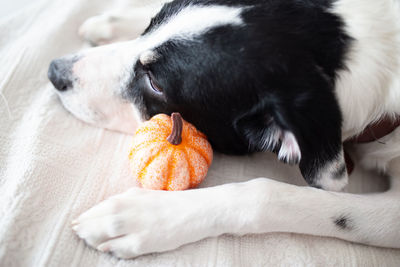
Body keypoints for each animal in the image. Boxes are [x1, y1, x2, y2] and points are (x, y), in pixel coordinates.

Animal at [47, 0, 400, 260]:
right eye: (150, 25)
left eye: (156, 84)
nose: (54, 72)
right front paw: (117, 21)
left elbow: (267, 195)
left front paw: (146, 216)